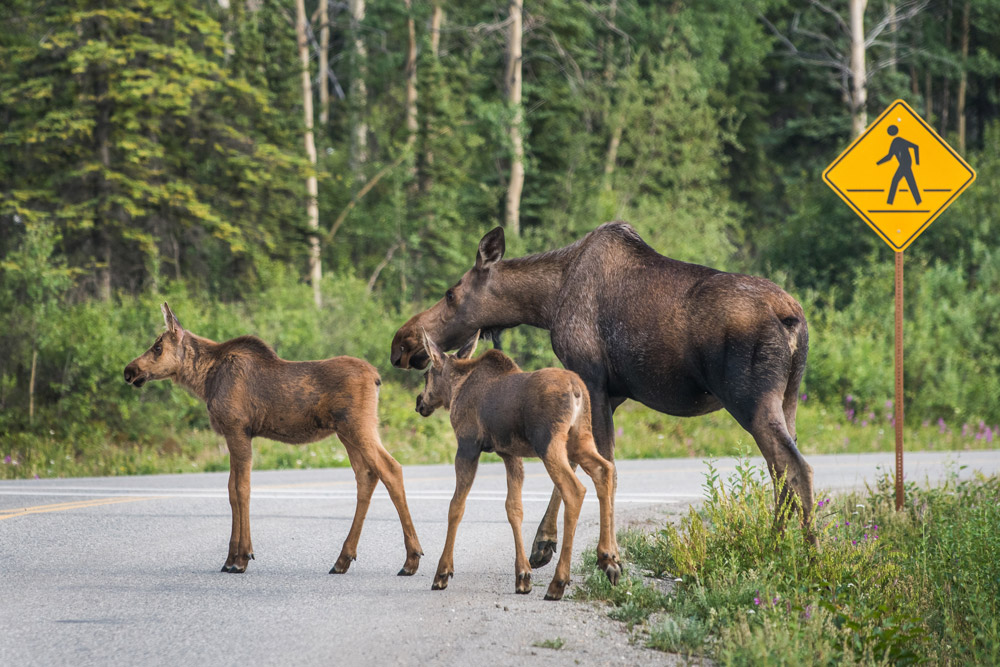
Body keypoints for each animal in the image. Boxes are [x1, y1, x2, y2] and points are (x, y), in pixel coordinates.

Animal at [124, 302, 422, 576]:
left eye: (158, 347)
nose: (129, 371)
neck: (204, 381)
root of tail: (376, 378)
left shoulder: (238, 429)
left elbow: (241, 489)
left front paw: (241, 558)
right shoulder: (234, 434)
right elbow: (231, 490)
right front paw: (230, 558)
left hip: (359, 426)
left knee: (391, 469)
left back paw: (411, 559)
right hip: (346, 432)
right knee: (366, 476)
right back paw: (343, 559)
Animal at [392, 224, 820, 568]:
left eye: (450, 293)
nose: (402, 342)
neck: (547, 303)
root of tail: (793, 317)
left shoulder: (592, 378)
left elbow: (603, 466)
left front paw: (605, 555)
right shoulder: (611, 394)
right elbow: (582, 462)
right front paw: (544, 544)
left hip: (749, 399)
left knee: (795, 468)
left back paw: (797, 553)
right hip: (788, 399)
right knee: (783, 469)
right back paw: (785, 546)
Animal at [412, 328, 616, 600]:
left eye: (427, 375)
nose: (419, 402)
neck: (456, 388)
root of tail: (577, 390)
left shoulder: (467, 444)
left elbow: (456, 506)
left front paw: (442, 573)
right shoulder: (510, 453)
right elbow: (514, 508)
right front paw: (523, 576)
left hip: (549, 443)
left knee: (575, 489)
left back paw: (559, 582)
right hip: (580, 439)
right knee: (605, 470)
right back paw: (608, 561)